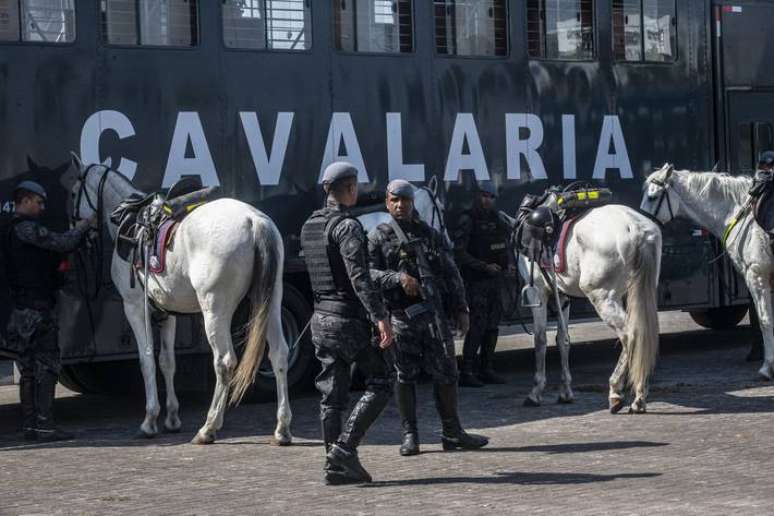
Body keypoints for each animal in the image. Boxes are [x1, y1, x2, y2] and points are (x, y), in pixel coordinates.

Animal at [69, 157, 292, 444]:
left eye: (73, 193)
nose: (76, 229)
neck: (131, 225)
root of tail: (253, 221)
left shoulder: (134, 308)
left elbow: (147, 360)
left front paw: (150, 421)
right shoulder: (167, 312)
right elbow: (167, 362)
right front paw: (172, 418)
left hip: (215, 311)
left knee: (224, 362)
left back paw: (208, 428)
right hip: (270, 301)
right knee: (279, 355)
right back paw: (282, 428)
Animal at [516, 196, 660, 414]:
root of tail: (635, 227)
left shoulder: (537, 292)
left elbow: (540, 340)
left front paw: (536, 392)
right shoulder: (562, 297)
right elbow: (563, 340)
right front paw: (565, 392)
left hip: (602, 297)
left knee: (630, 335)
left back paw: (617, 392)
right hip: (639, 292)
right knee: (642, 334)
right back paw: (639, 396)